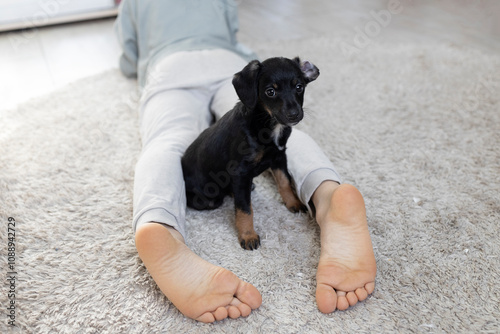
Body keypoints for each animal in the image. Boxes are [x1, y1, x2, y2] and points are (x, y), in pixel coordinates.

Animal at [182, 57, 318, 249]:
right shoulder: (241, 171)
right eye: (270, 92)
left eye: (299, 87)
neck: (267, 125)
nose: (294, 114)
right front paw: (248, 235)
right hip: (208, 200)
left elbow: (284, 182)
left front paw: (293, 203)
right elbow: (245, 209)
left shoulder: (279, 157)